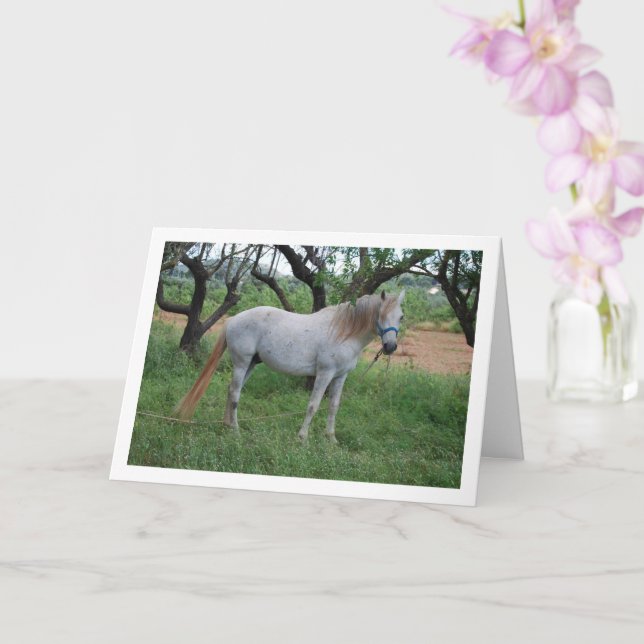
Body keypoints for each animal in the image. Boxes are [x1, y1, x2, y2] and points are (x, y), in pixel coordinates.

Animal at [174, 289, 405, 443]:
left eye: (401, 317)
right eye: (381, 315)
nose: (390, 346)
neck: (344, 331)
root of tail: (233, 320)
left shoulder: (340, 377)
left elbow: (333, 406)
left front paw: (331, 439)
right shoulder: (325, 374)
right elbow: (313, 405)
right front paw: (302, 438)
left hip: (251, 364)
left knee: (231, 390)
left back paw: (227, 425)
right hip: (241, 363)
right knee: (235, 394)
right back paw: (236, 430)